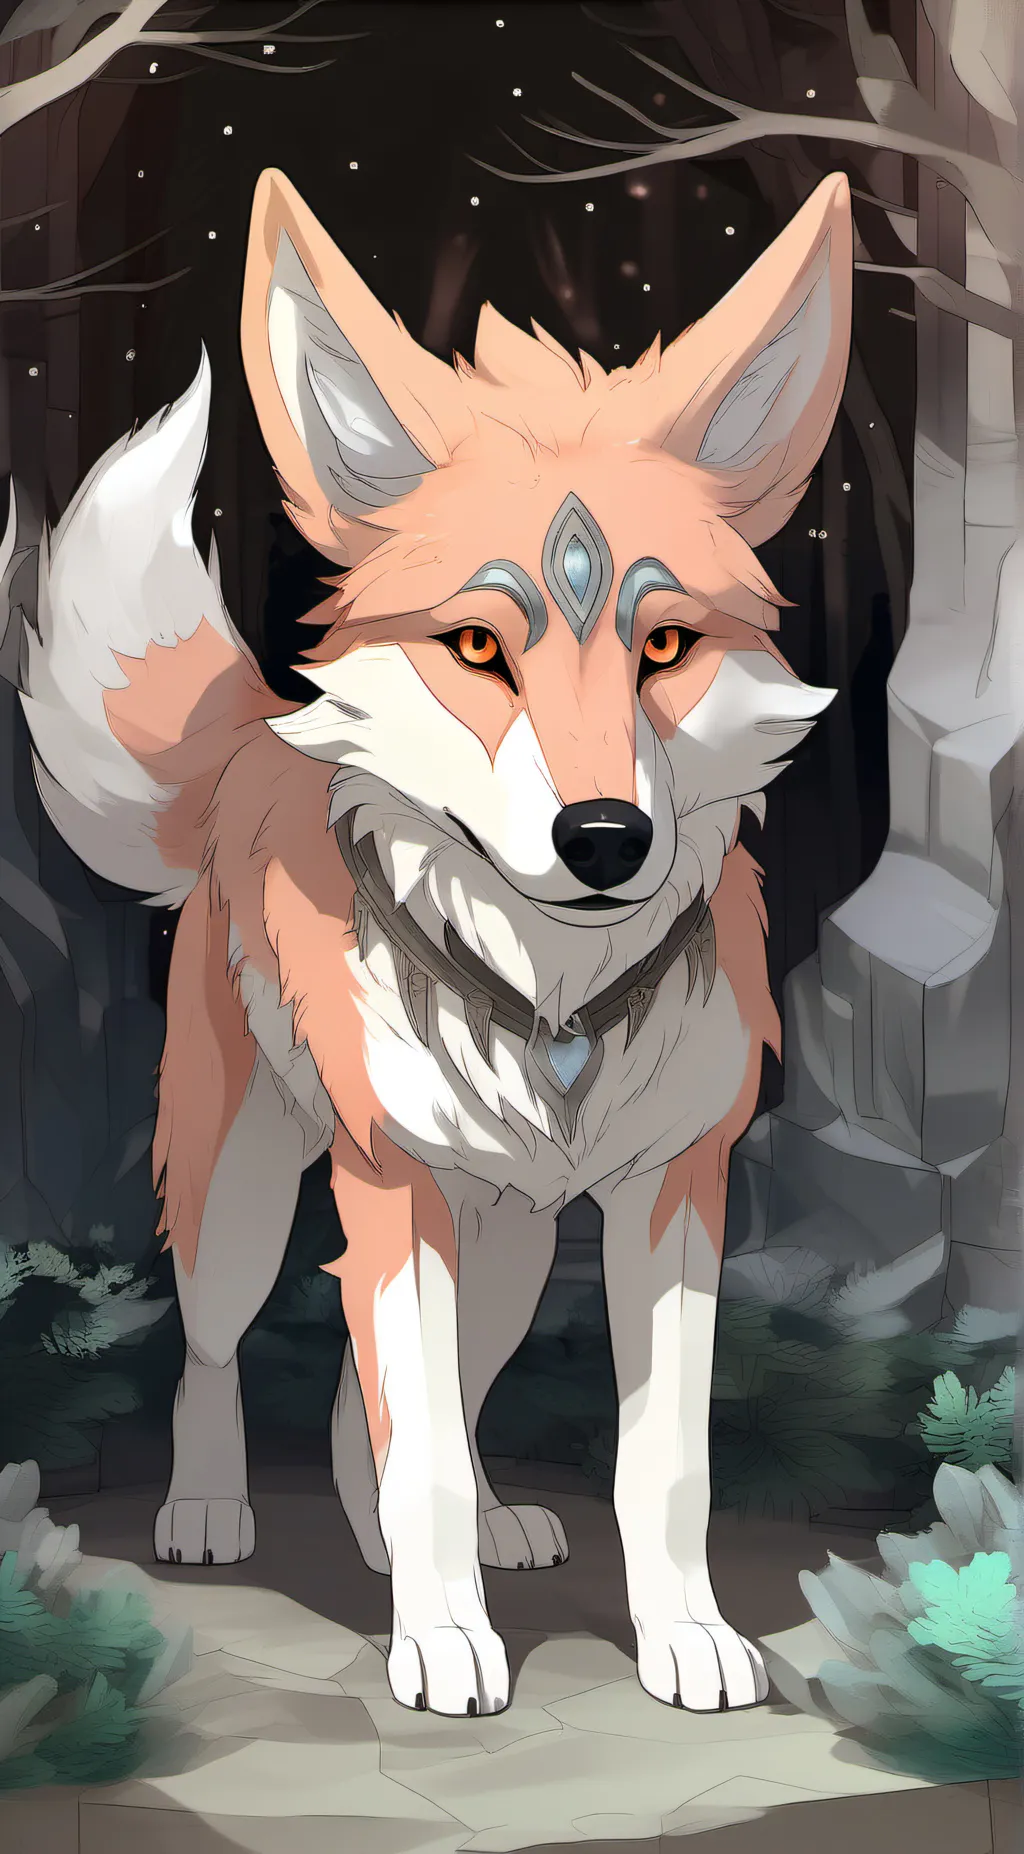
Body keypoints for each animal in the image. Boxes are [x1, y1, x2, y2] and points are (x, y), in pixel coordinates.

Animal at [19, 167, 851, 1718]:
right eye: (477, 646)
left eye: (662, 646)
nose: (604, 838)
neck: (554, 1006)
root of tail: (255, 746)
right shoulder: (390, 1188)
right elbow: (416, 1462)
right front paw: (445, 1642)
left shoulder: (673, 1197)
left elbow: (659, 1466)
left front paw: (685, 1638)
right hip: (253, 1189)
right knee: (219, 1348)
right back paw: (211, 1510)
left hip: (509, 1246)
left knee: (403, 1406)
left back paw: (433, 1529)